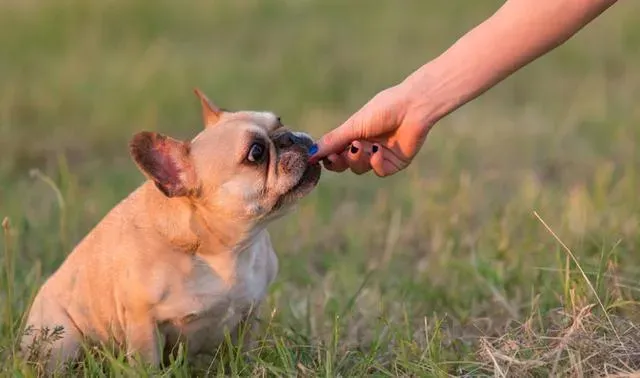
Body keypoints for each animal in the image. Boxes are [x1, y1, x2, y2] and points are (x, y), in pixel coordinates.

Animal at [20, 88, 322, 372]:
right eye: (256, 153)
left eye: (279, 121)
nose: (289, 137)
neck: (227, 249)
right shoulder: (143, 322)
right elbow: (147, 364)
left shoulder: (250, 313)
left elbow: (244, 352)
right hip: (64, 340)